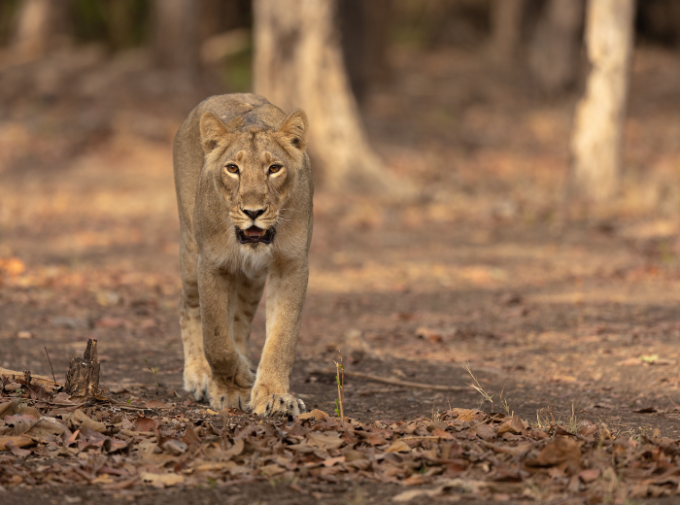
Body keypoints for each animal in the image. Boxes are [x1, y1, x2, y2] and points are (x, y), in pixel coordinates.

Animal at [173, 93, 312, 417]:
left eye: (274, 168)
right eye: (233, 168)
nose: (253, 212)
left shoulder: (292, 265)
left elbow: (281, 338)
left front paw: (273, 396)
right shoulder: (211, 264)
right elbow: (216, 340)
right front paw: (230, 387)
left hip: (252, 279)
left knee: (240, 321)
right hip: (190, 248)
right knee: (188, 307)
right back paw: (199, 375)